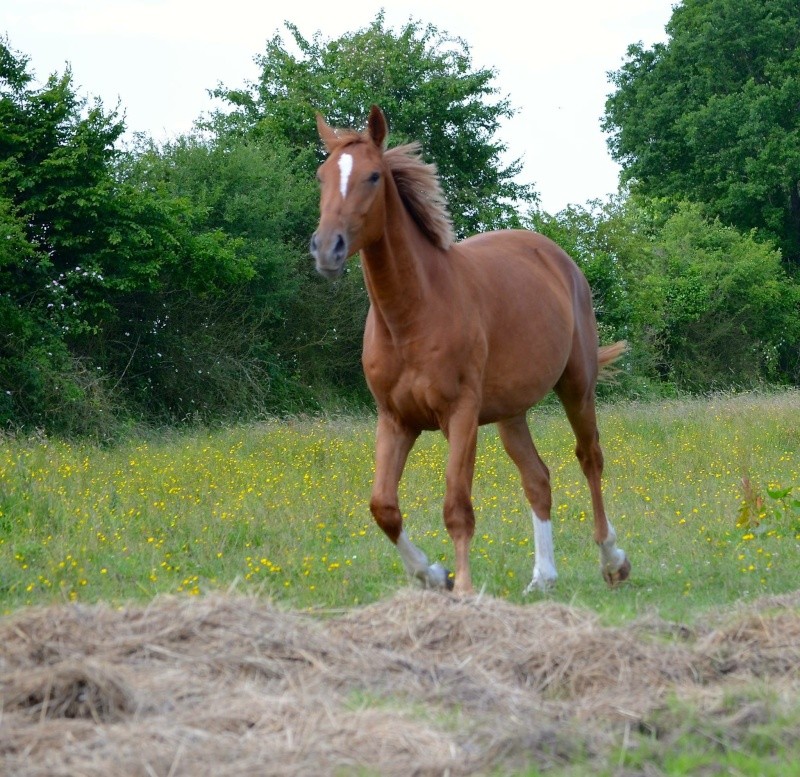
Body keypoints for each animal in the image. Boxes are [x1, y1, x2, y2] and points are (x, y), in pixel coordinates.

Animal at [310, 106, 628, 596]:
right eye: (322, 175)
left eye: (373, 177)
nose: (327, 248)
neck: (412, 316)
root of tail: (558, 258)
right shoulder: (395, 420)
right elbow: (384, 507)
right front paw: (434, 574)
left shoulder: (459, 415)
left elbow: (457, 506)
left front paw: (461, 587)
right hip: (510, 414)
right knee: (537, 480)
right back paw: (543, 577)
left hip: (577, 387)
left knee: (590, 459)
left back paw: (612, 561)